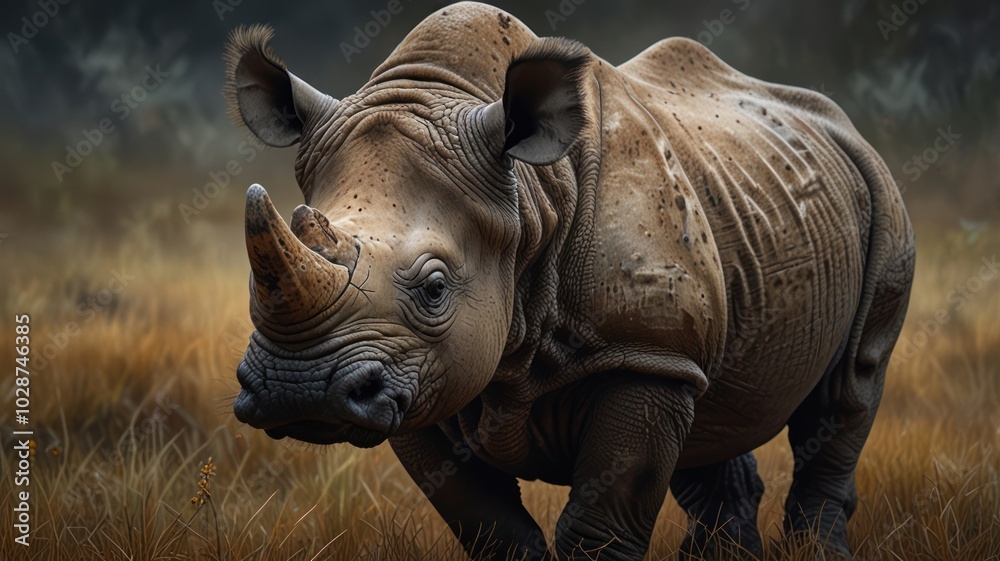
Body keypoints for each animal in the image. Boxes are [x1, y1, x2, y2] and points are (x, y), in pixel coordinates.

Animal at [227, 3, 915, 559]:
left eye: (435, 288)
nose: (298, 390)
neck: (529, 200)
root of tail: (839, 123)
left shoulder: (643, 353)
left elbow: (599, 528)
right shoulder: (419, 375)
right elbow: (488, 526)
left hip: (881, 195)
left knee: (849, 391)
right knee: (713, 411)